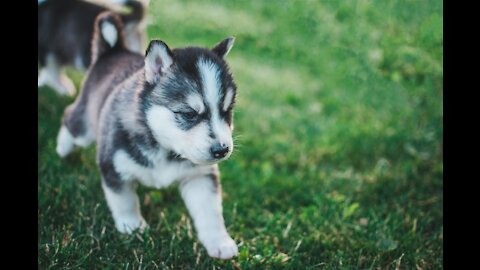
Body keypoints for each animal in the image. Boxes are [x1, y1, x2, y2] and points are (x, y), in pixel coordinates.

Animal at [56, 12, 240, 260]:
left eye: (227, 111)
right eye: (188, 114)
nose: (222, 150)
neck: (163, 146)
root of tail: (114, 51)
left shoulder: (199, 176)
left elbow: (210, 212)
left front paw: (219, 241)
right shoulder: (113, 166)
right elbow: (125, 201)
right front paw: (133, 228)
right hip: (85, 126)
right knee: (70, 118)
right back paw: (63, 149)